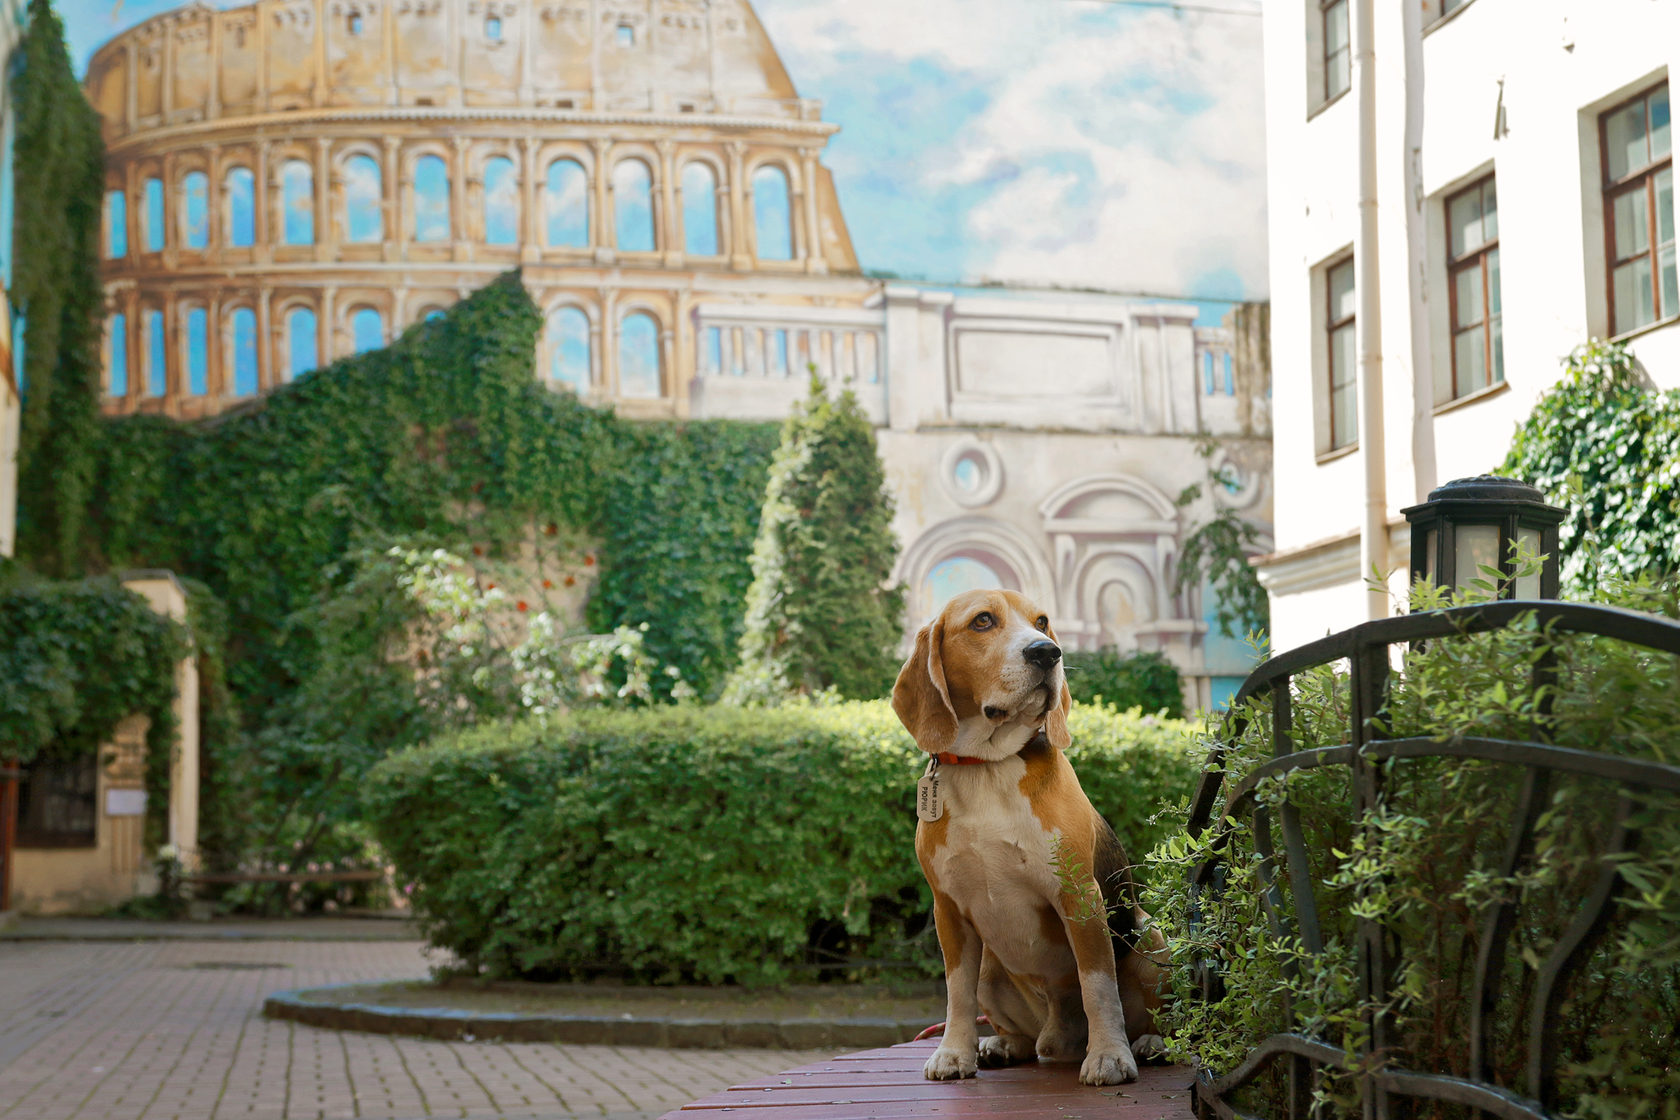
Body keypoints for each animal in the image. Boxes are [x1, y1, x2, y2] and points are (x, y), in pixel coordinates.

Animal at [893, 587, 1169, 1088]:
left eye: (1041, 622)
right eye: (983, 621)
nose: (1047, 652)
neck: (988, 766)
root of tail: (1057, 1037)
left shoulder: (1080, 897)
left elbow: (1097, 984)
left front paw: (1109, 1056)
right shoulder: (949, 910)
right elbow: (956, 993)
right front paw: (954, 1052)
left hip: (1149, 935)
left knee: (1163, 1015)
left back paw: (1149, 1042)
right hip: (990, 966)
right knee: (1015, 1029)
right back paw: (1003, 1044)